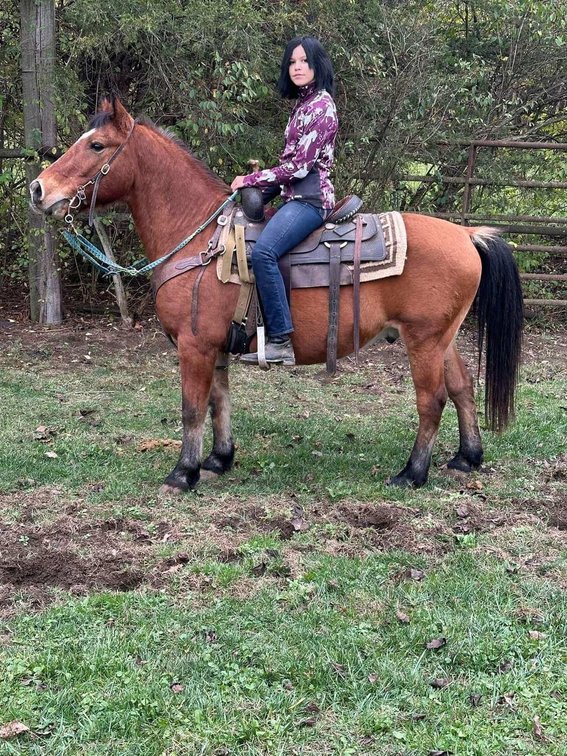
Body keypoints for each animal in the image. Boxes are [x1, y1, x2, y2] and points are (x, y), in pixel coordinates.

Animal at [30, 97, 523, 492]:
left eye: (96, 146)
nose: (38, 189)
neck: (200, 239)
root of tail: (467, 235)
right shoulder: (215, 347)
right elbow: (218, 401)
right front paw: (218, 459)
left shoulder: (194, 344)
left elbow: (192, 408)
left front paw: (183, 473)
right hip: (443, 338)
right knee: (462, 387)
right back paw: (466, 458)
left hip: (422, 339)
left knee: (432, 399)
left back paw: (412, 473)